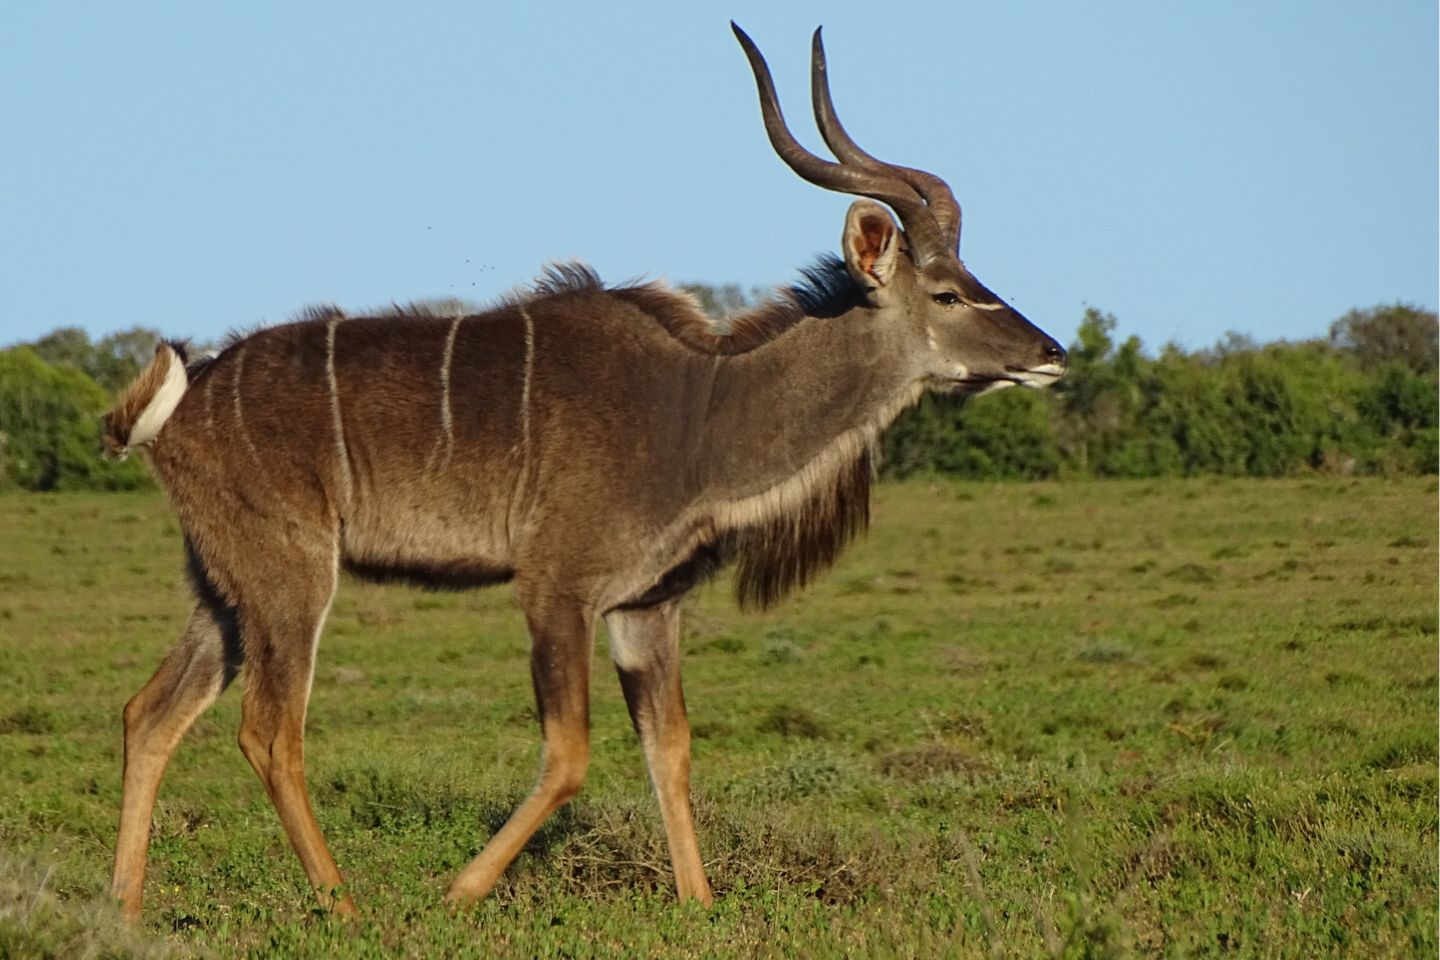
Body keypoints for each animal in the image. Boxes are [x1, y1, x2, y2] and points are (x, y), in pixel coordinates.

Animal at [101, 26, 1065, 921]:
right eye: (947, 292)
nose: (1052, 354)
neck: (700, 413)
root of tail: (176, 406)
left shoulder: (646, 607)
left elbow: (670, 749)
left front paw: (698, 904)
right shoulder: (556, 587)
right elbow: (569, 755)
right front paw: (458, 892)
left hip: (226, 592)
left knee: (150, 713)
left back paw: (125, 905)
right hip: (292, 579)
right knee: (269, 731)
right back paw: (343, 905)